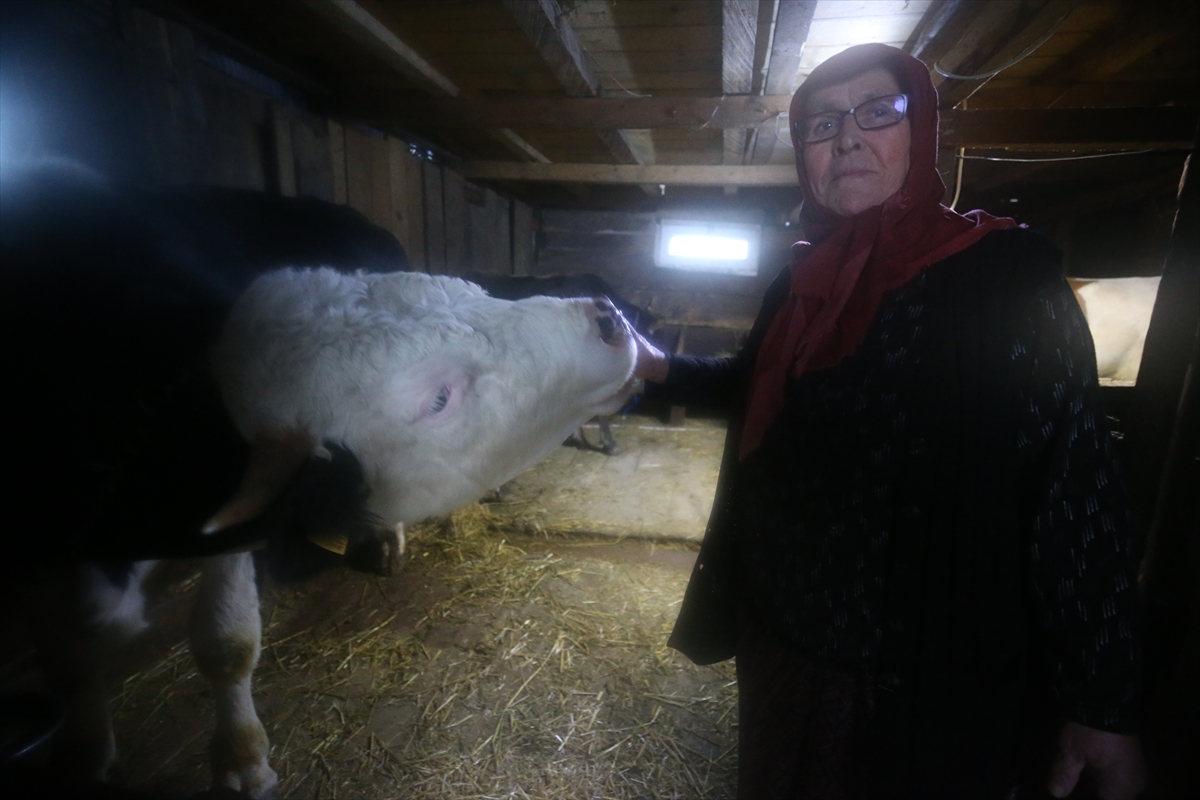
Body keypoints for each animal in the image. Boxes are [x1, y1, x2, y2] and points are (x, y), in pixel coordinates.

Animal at [0, 163, 638, 796]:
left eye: (475, 294)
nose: (609, 318)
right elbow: (69, 658)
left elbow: (226, 643)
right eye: (437, 399)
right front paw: (84, 754)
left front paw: (242, 761)